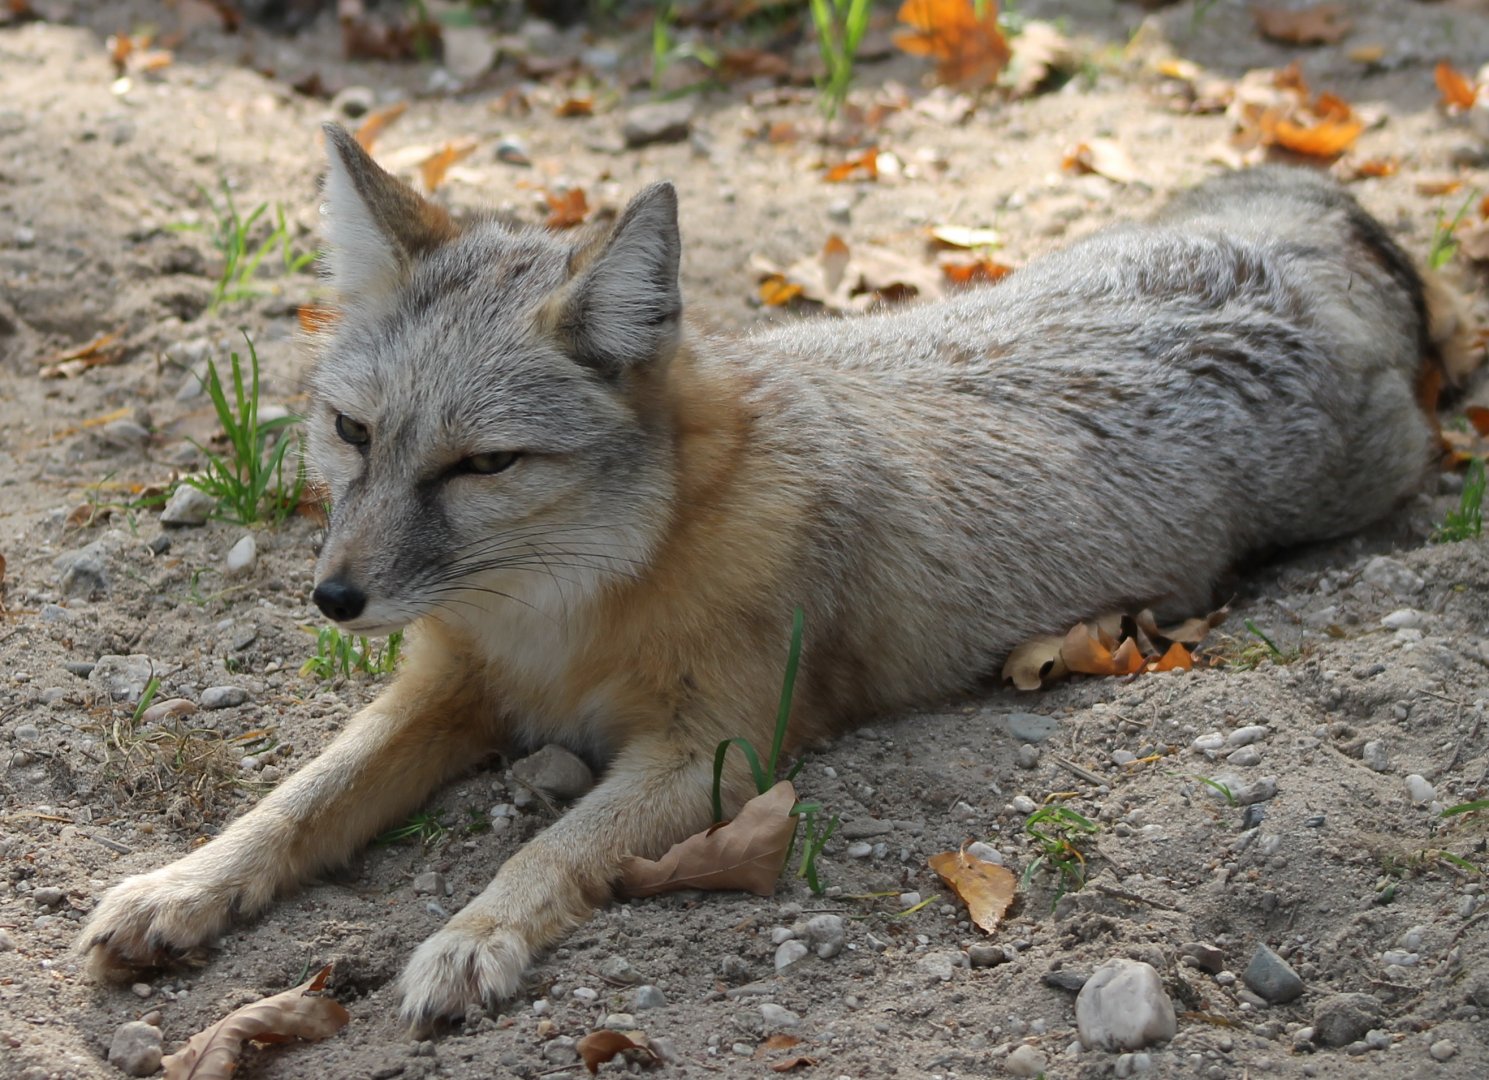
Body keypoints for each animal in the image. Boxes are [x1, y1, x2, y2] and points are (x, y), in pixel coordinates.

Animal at [80, 123, 1477, 1030]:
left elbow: (552, 850)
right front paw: (187, 884)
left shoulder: (717, 752)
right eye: (353, 434)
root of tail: (1278, 252)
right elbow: (300, 800)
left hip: (1381, 475)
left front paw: (472, 938)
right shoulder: (442, 688)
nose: (333, 600)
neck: (568, 612)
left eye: (481, 464)